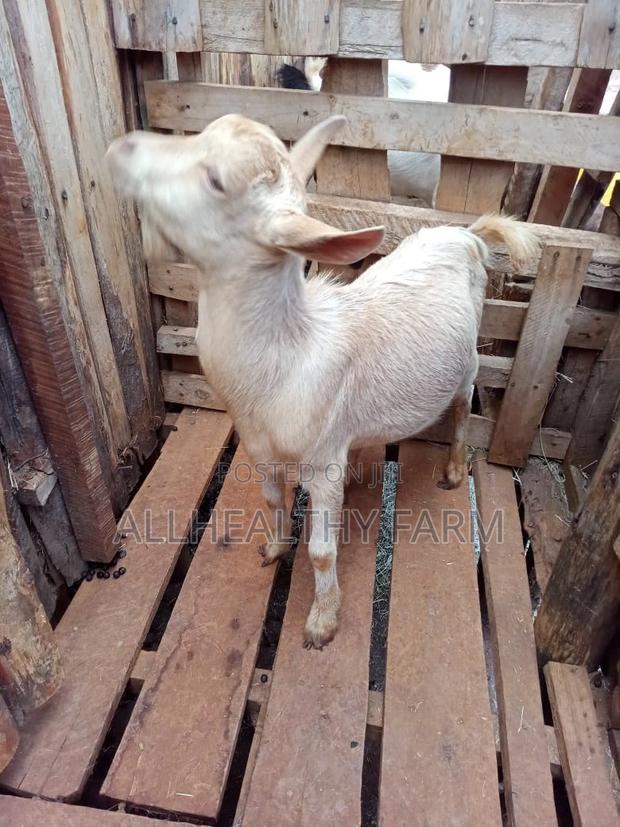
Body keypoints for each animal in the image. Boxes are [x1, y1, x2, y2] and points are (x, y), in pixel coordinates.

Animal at [107, 115, 538, 649]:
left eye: (215, 180)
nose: (122, 146)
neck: (286, 357)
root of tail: (469, 235)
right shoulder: (261, 448)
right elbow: (272, 499)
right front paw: (274, 548)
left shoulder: (323, 462)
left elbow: (321, 552)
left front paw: (322, 620)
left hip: (470, 361)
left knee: (462, 406)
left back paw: (455, 470)